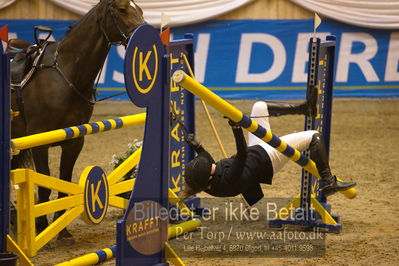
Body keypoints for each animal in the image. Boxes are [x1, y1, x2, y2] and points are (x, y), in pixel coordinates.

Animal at [10, 0, 145, 237]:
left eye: (141, 10)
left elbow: (64, 181)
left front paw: (62, 230)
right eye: (121, 9)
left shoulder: (74, 140)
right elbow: (45, 186)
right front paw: (43, 227)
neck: (65, 75)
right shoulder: (39, 142)